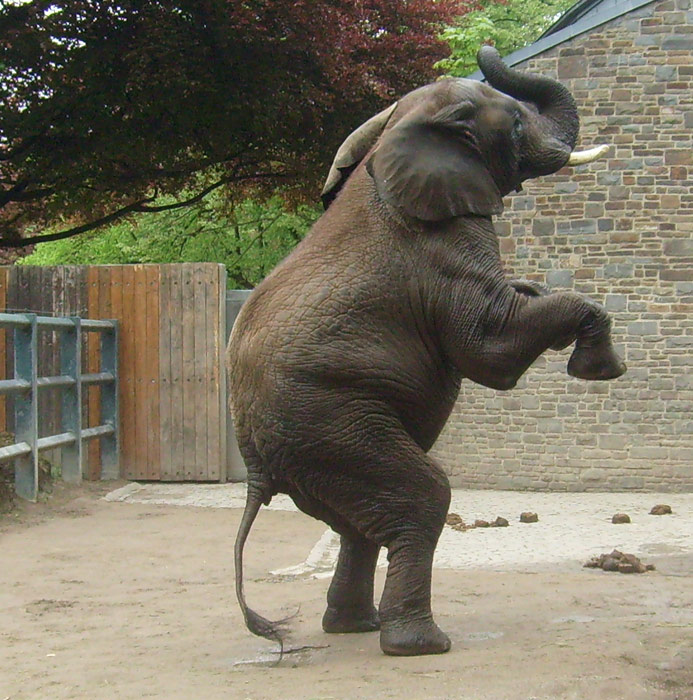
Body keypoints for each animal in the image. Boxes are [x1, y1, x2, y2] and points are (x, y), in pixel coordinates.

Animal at [228, 45, 628, 656]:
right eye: (516, 123)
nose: (487, 51)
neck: (395, 130)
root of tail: (252, 469)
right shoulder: (444, 246)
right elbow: (489, 348)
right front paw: (599, 369)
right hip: (326, 422)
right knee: (420, 498)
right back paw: (418, 644)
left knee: (360, 522)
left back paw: (355, 626)